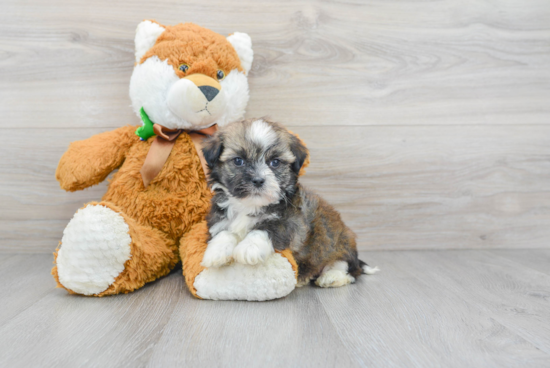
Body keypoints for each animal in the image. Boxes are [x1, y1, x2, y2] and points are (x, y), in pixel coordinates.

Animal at [202, 118, 380, 288]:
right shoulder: (219, 217)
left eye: (275, 162)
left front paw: (250, 247)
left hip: (340, 243)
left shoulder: (291, 222)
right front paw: (216, 250)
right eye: (238, 161)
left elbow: (267, 228)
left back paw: (331, 277)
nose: (258, 180)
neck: (250, 205)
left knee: (347, 269)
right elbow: (225, 231)